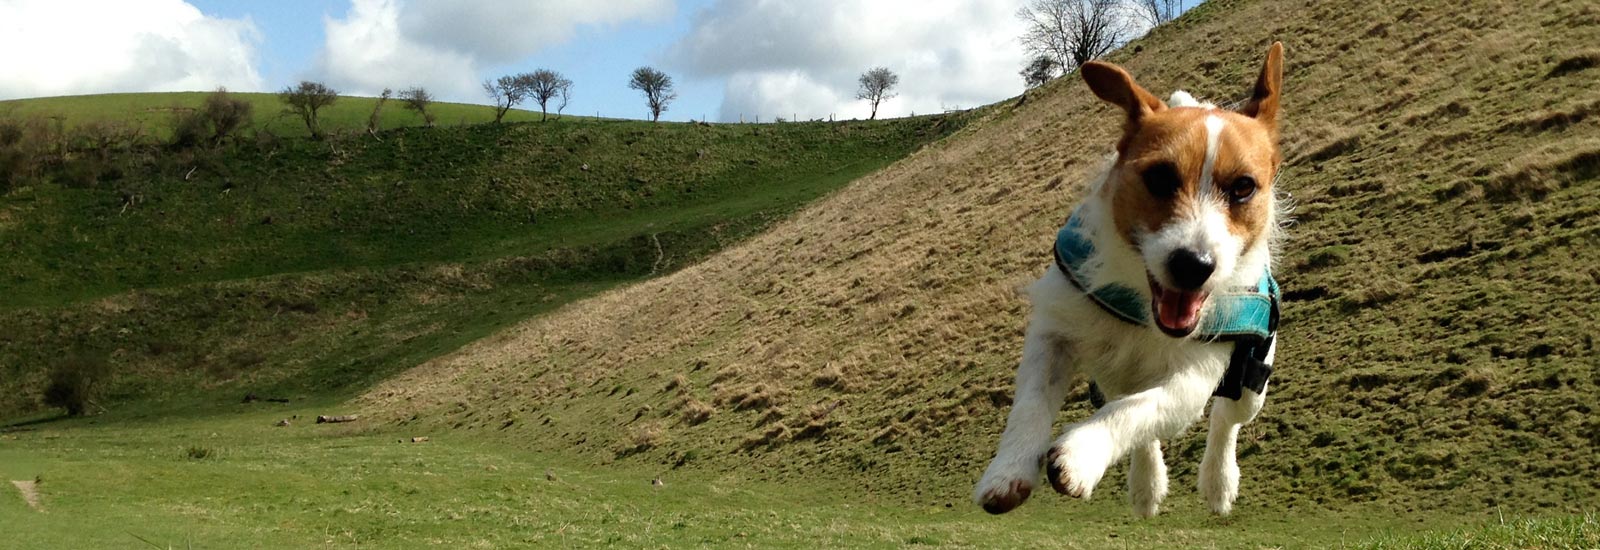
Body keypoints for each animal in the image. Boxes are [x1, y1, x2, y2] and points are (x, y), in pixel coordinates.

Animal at [972, 43, 1286, 521]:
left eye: (1243, 188)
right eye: (1159, 177)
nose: (1193, 265)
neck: (1143, 304)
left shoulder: (1195, 376)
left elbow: (1138, 410)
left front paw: (1081, 453)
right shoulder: (1054, 331)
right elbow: (1031, 404)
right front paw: (1008, 470)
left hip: (1253, 379)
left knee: (1225, 420)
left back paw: (1218, 482)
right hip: (1109, 372)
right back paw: (1146, 484)